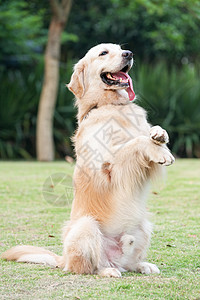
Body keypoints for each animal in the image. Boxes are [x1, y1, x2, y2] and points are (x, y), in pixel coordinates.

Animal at [1, 43, 174, 278]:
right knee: (88, 266)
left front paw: (159, 135)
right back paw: (108, 271)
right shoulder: (107, 170)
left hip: (144, 226)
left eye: (119, 48)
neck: (111, 105)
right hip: (87, 226)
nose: (128, 54)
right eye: (103, 53)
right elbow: (134, 143)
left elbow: (148, 134)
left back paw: (143, 265)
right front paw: (158, 150)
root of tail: (62, 259)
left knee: (128, 263)